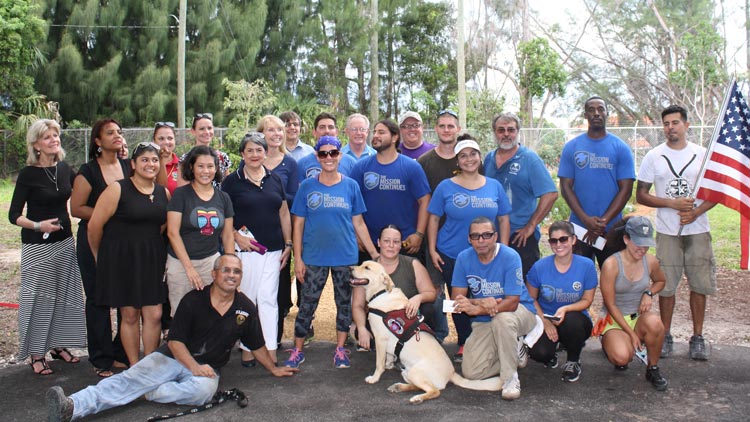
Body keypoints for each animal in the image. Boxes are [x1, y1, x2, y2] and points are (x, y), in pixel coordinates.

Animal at [350, 260, 502, 402]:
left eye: (367, 268)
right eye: (362, 264)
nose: (350, 268)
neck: (380, 292)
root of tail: (452, 373)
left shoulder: (380, 338)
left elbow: (379, 363)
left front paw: (374, 377)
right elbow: (387, 357)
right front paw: (389, 364)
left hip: (415, 372)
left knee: (434, 391)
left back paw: (417, 398)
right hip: (407, 372)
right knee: (417, 386)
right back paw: (398, 387)